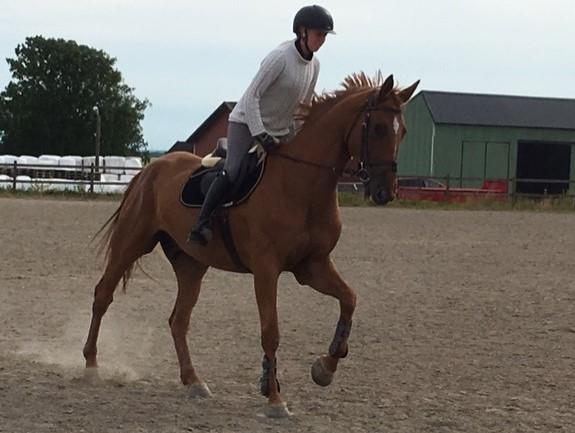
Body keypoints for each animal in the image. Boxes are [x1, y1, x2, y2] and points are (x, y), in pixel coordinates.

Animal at [82, 72, 418, 416]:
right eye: (378, 128)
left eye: (402, 131)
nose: (385, 192)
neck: (301, 184)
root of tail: (153, 167)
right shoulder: (266, 270)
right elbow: (271, 331)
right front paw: (274, 398)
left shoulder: (312, 266)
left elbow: (349, 299)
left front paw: (325, 368)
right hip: (131, 242)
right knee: (103, 296)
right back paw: (92, 365)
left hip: (191, 265)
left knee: (178, 320)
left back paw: (193, 381)